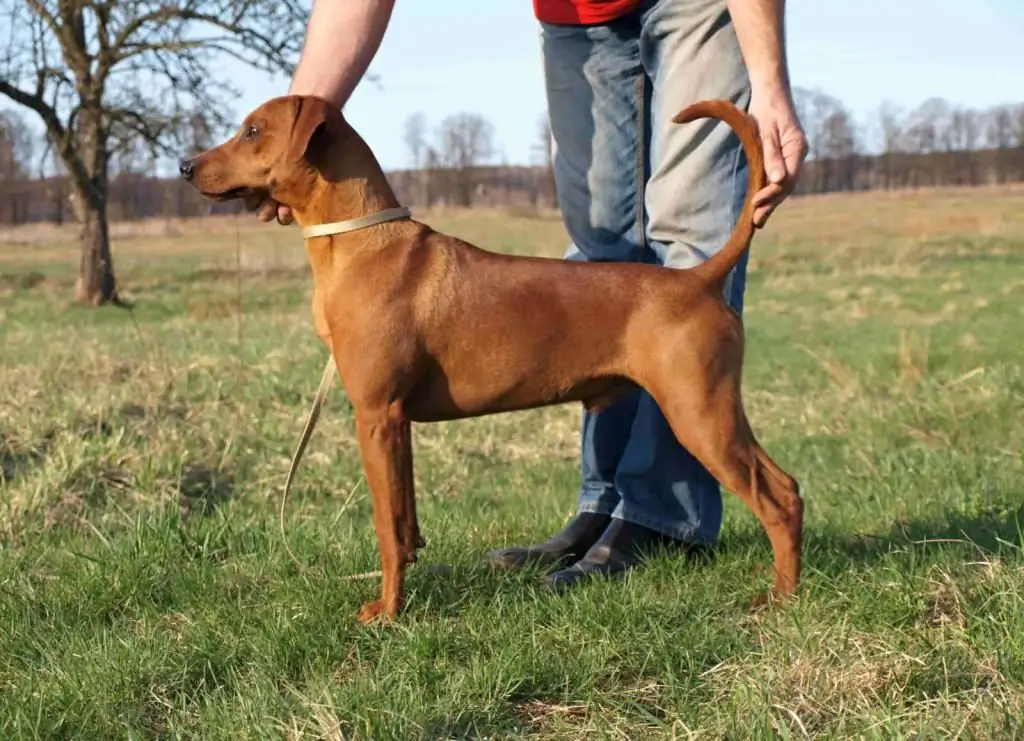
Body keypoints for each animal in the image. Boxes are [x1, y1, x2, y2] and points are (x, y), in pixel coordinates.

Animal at [182, 95, 798, 622]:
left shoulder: (375, 416)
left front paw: (387, 613)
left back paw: (781, 599)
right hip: (710, 413)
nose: (186, 166)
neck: (361, 243)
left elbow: (385, 530)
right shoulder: (397, 424)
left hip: (700, 415)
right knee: (785, 487)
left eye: (253, 130)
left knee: (779, 498)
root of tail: (697, 279)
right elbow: (404, 524)